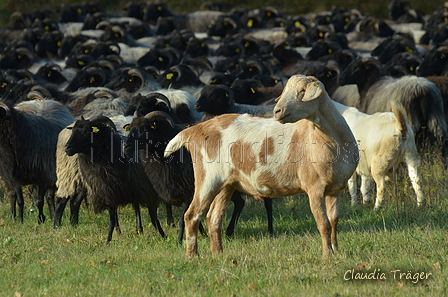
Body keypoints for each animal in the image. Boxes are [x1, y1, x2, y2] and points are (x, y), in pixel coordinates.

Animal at [165, 74, 360, 256]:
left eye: (302, 92)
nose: (277, 111)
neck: (327, 139)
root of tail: (195, 129)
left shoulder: (335, 189)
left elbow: (334, 221)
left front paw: (336, 250)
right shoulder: (314, 188)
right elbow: (323, 223)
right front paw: (327, 254)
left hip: (226, 185)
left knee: (213, 218)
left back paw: (218, 253)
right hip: (207, 179)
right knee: (191, 215)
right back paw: (193, 256)